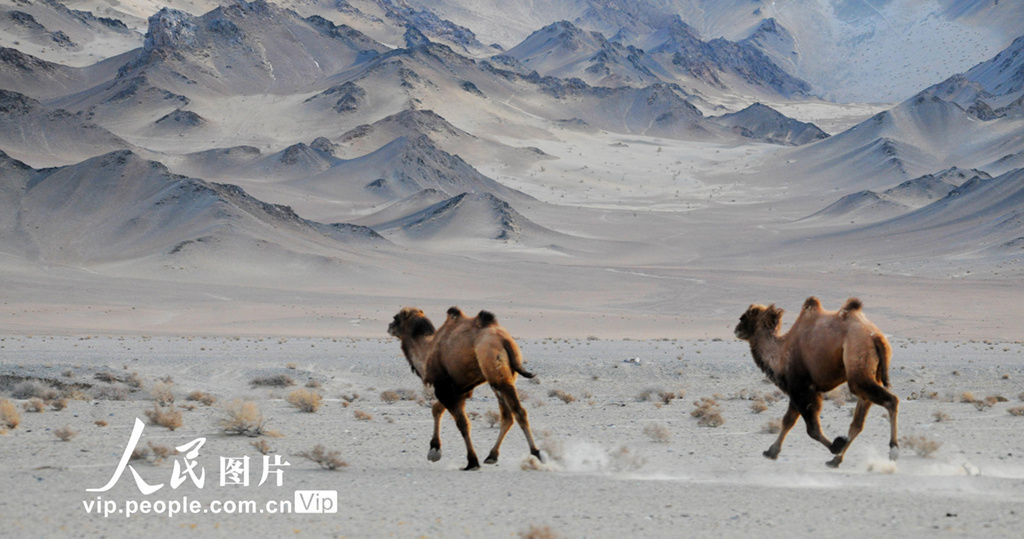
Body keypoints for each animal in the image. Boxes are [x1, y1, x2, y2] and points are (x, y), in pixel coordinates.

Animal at [387, 307, 540, 471]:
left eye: (396, 318)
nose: (389, 326)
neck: (427, 351)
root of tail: (505, 340)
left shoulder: (444, 389)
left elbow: (462, 423)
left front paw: (472, 462)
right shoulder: (460, 390)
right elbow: (436, 409)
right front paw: (434, 450)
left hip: (496, 373)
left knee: (518, 412)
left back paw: (536, 453)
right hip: (504, 377)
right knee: (509, 416)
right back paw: (493, 456)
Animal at [737, 297, 897, 467]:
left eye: (744, 317)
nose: (737, 329)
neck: (780, 353)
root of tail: (876, 337)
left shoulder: (802, 388)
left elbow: (811, 429)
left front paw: (836, 445)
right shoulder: (797, 390)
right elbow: (788, 421)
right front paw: (771, 452)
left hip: (858, 369)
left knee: (890, 400)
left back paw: (893, 450)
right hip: (869, 374)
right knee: (858, 422)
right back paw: (835, 460)